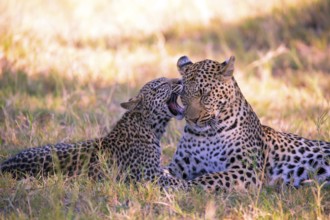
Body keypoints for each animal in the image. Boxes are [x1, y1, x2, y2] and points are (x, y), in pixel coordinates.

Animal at [1, 78, 189, 190]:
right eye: (162, 85)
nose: (180, 80)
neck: (152, 127)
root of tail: (6, 163)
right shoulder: (149, 176)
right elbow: (178, 182)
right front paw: (194, 186)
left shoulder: (157, 171)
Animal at [168, 55, 330, 192]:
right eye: (183, 95)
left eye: (205, 95)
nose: (192, 119)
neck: (208, 134)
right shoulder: (180, 163)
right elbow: (163, 170)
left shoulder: (247, 168)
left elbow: (209, 178)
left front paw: (180, 186)